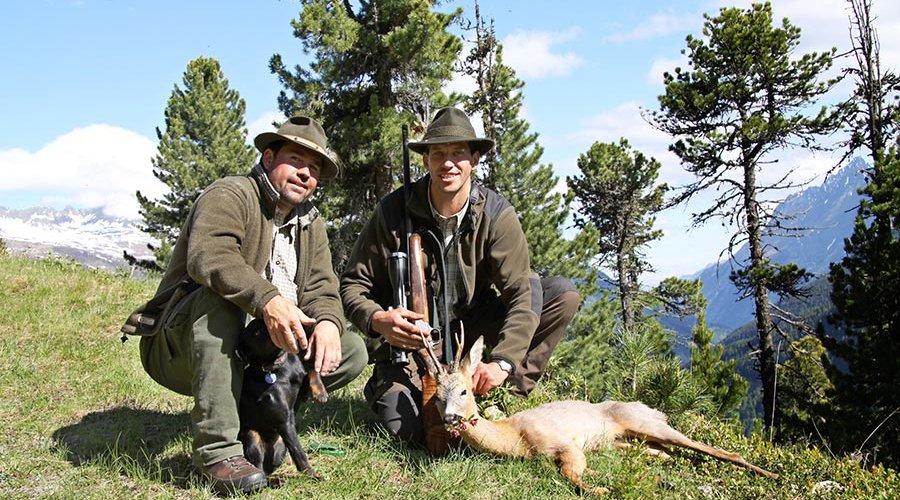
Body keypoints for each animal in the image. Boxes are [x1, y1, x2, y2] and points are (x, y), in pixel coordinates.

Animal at [234, 318, 328, 478]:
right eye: (256, 333)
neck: (278, 367)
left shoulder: (301, 385)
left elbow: (311, 371)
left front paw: (320, 392)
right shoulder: (284, 422)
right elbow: (298, 453)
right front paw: (312, 475)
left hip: (280, 448)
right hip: (253, 437)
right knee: (260, 470)